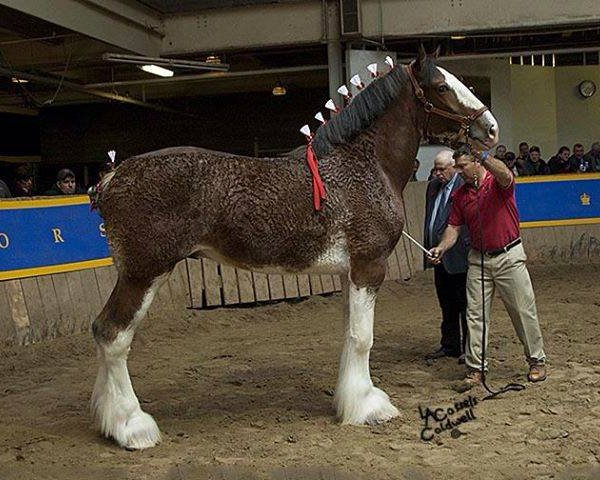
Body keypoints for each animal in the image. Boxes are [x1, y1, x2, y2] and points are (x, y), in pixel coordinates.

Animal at [91, 47, 500, 448]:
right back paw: (132, 426)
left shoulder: (350, 273)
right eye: (441, 86)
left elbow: (350, 334)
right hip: (143, 273)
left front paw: (349, 401)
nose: (491, 128)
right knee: (112, 335)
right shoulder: (369, 266)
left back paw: (109, 422)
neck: (364, 164)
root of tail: (113, 177)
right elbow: (362, 339)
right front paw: (369, 408)